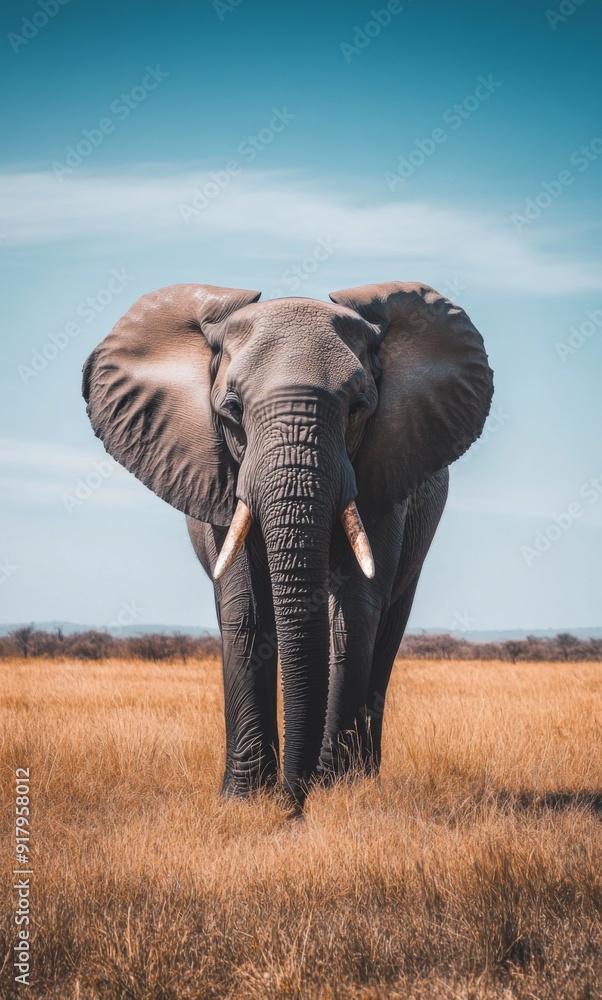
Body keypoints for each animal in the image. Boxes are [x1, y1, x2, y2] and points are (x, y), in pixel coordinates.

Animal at [82, 281, 493, 810]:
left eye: (359, 407)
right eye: (232, 410)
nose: (293, 806)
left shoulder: (383, 473)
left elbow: (351, 612)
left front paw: (332, 791)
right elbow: (246, 611)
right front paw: (243, 801)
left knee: (385, 632)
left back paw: (362, 778)